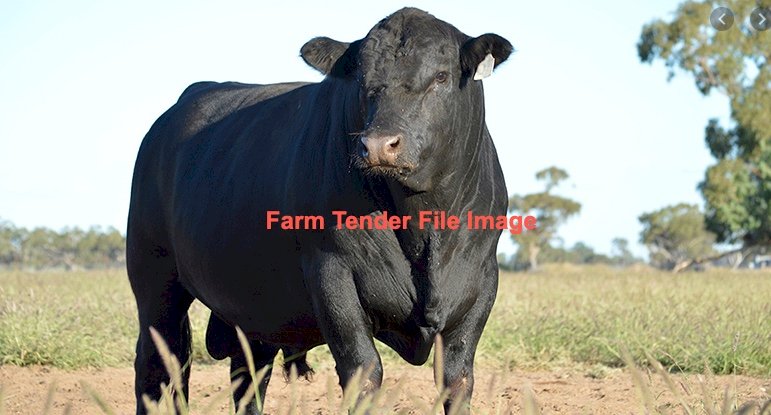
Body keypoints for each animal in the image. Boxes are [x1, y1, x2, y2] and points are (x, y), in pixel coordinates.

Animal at [127, 7, 512, 414]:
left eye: (441, 76)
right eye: (361, 78)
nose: (378, 145)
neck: (422, 226)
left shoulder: (481, 283)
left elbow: (457, 380)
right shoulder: (332, 275)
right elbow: (363, 371)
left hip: (254, 308)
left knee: (246, 376)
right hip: (155, 279)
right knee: (160, 365)